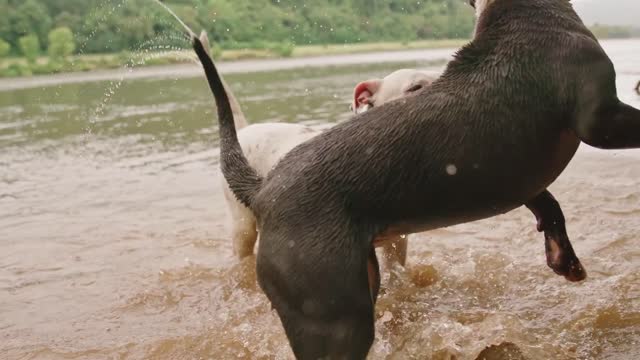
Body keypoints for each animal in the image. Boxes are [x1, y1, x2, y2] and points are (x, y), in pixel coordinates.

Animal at [192, 0, 640, 358]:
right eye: (413, 86)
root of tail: (263, 188)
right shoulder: (600, 119)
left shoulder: (515, 178)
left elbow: (548, 203)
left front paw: (564, 259)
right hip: (330, 314)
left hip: (360, 280)